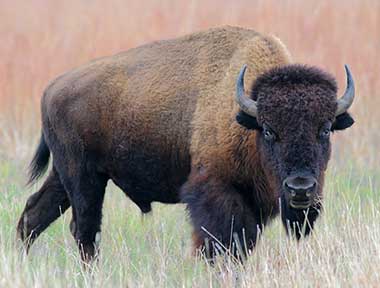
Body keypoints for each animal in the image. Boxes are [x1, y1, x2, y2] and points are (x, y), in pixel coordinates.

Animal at [17, 25, 356, 262]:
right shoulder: (215, 192)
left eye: (325, 129)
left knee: (34, 214)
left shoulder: (253, 203)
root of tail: (51, 88)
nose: (301, 188)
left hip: (66, 176)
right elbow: (219, 243)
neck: (245, 115)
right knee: (84, 229)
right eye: (270, 131)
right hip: (83, 177)